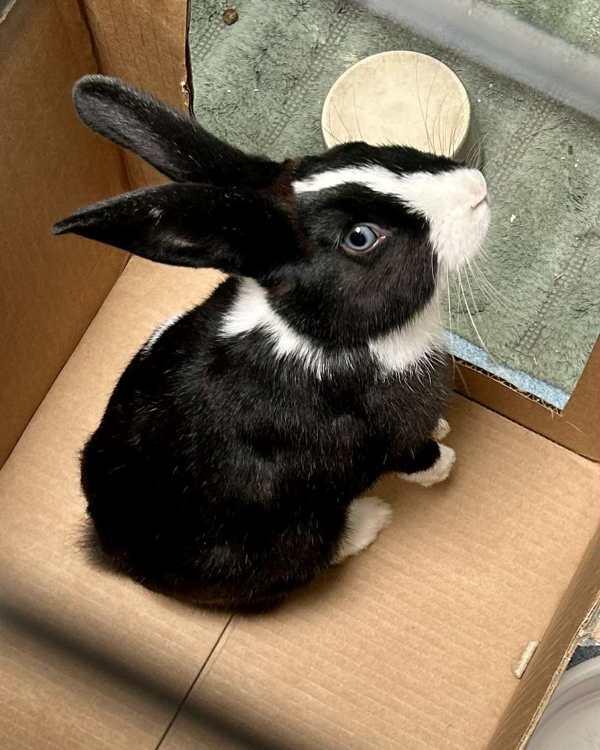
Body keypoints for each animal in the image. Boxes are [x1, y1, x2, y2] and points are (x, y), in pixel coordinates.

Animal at [53, 75, 490, 610]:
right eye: (361, 237)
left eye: (360, 149)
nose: (477, 190)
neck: (318, 332)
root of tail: (112, 551)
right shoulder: (387, 437)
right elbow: (414, 457)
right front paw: (445, 463)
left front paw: (444, 426)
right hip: (297, 538)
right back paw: (371, 519)